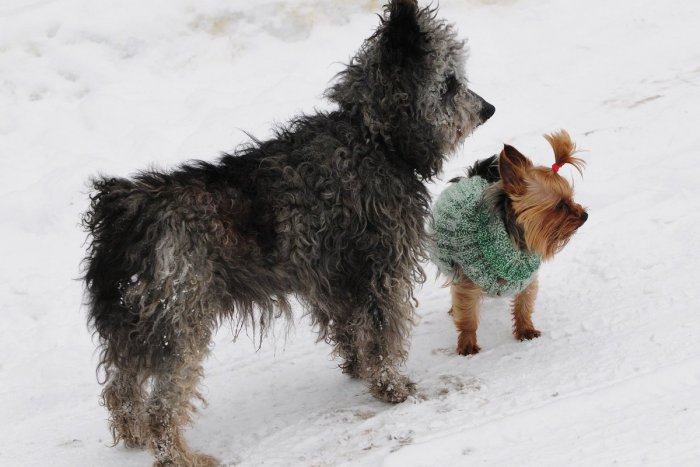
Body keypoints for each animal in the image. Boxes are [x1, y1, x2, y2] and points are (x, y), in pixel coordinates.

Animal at [82, 0, 494, 464]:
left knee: (120, 391)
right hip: (179, 326)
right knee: (162, 406)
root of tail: (123, 212)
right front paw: (392, 386)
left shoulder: (332, 277)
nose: (488, 109)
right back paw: (179, 454)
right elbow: (382, 331)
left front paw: (359, 369)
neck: (372, 136)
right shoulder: (382, 267)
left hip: (131, 329)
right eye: (450, 84)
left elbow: (351, 328)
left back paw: (133, 435)